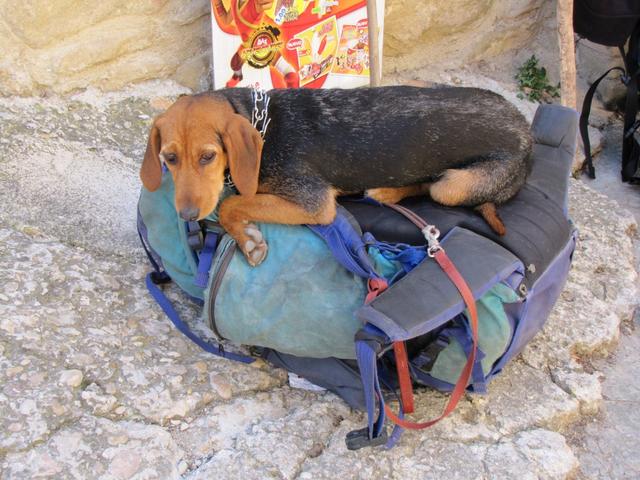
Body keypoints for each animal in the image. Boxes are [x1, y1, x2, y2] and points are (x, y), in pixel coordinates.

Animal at [141, 86, 536, 266]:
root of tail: (525, 128)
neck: (263, 125)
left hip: (453, 186)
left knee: (434, 184)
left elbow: (233, 204)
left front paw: (248, 240)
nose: (187, 215)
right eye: (169, 158)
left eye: (208, 156)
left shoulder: (313, 203)